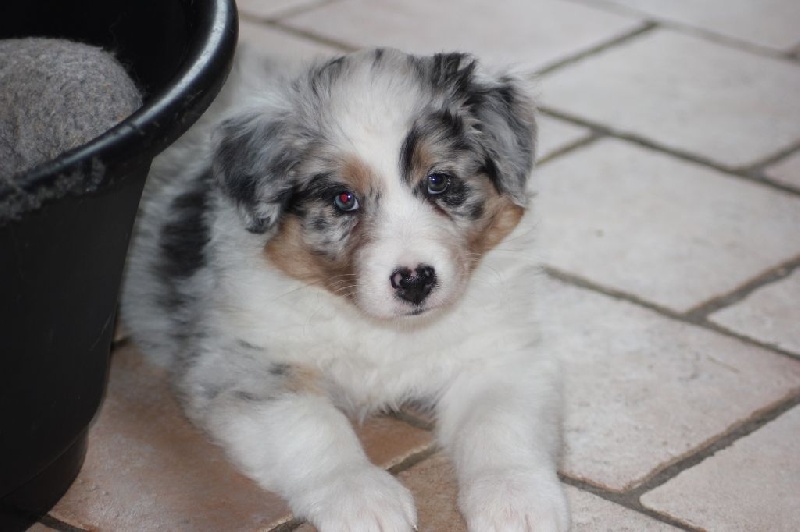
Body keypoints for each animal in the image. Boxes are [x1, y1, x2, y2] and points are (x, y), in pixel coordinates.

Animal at [122, 46, 568, 532]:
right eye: (343, 199)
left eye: (439, 181)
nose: (415, 281)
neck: (381, 328)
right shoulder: (245, 361)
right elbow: (311, 425)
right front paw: (363, 498)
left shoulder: (500, 353)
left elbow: (500, 421)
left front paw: (517, 499)